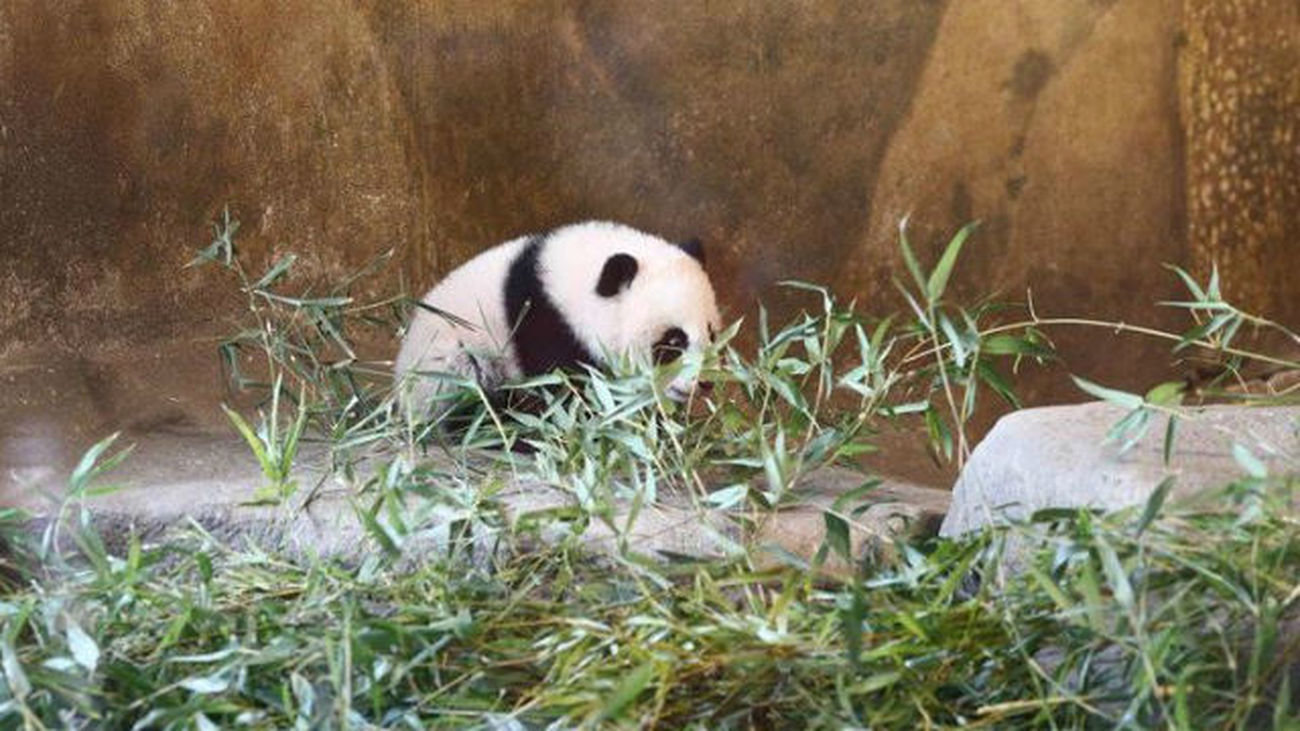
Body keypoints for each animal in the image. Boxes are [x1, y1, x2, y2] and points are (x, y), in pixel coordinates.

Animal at [394, 221, 722, 418]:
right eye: (674, 341)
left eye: (712, 334)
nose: (706, 382)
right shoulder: (545, 322)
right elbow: (566, 388)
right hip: (446, 361)